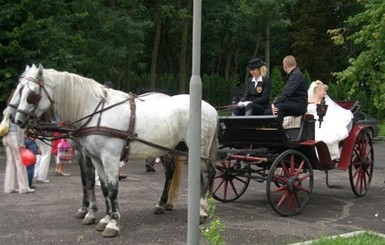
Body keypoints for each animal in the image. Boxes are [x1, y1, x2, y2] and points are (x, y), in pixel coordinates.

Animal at [13, 64, 218, 238]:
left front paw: (112, 223)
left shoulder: (109, 157)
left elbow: (111, 189)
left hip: (199, 149)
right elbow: (102, 187)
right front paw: (104, 218)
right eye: (19, 91)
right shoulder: (95, 157)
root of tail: (211, 108)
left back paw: (201, 211)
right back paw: (166, 204)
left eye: (31, 94)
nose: (17, 121)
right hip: (174, 148)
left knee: (207, 173)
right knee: (176, 172)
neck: (96, 112)